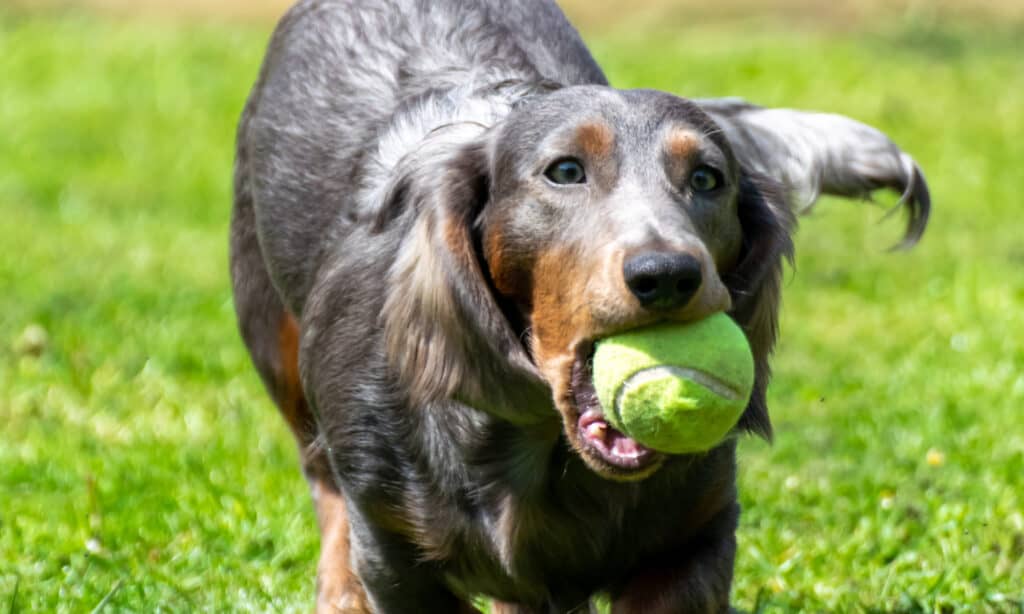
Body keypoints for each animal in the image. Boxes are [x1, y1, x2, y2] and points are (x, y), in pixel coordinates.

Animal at [230, 2, 929, 609]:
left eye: (708, 178)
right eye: (565, 171)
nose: (667, 275)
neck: (541, 452)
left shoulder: (693, 540)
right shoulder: (394, 550)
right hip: (276, 349)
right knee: (323, 487)